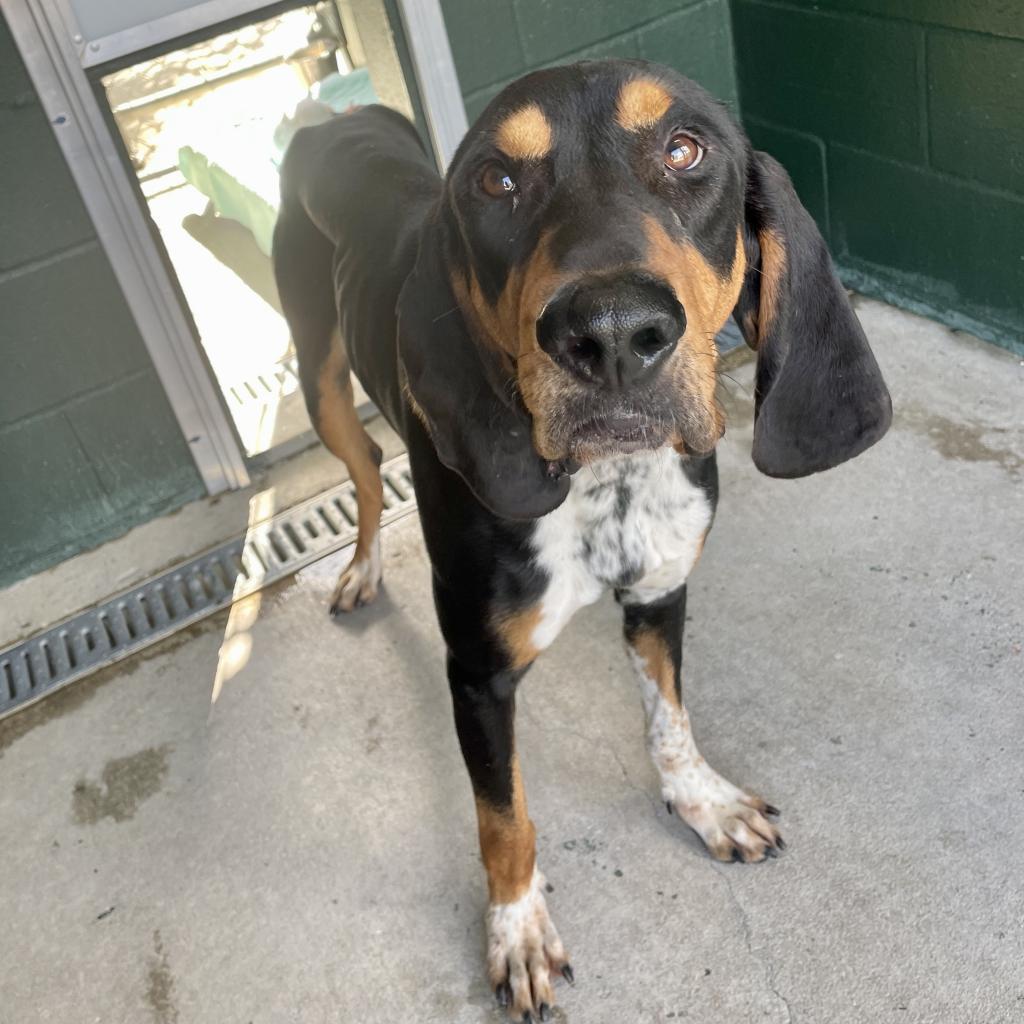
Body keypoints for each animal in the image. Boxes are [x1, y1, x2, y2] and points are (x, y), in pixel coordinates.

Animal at [272, 58, 888, 1024]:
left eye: (686, 149)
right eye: (496, 180)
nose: (612, 334)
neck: (608, 485)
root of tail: (330, 122)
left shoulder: (661, 594)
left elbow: (670, 719)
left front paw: (702, 803)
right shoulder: (478, 675)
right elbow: (503, 819)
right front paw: (517, 931)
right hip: (320, 379)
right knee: (366, 467)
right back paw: (363, 564)